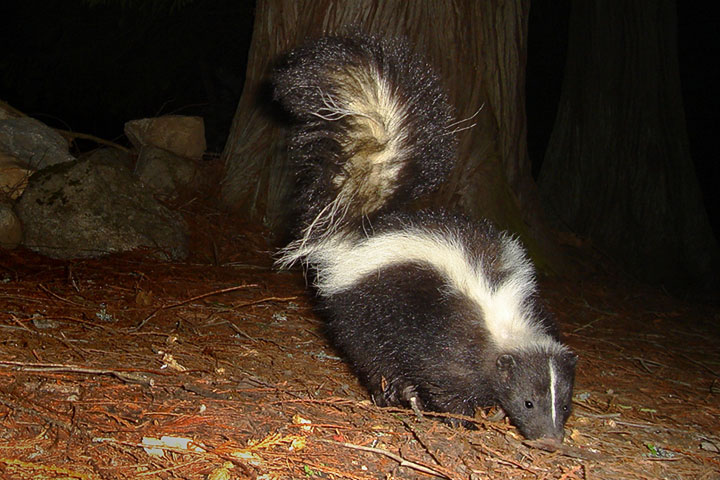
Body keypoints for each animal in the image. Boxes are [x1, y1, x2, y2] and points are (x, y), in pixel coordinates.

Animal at [272, 33, 576, 442]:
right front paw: (461, 420)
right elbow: (447, 378)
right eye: (528, 402)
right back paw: (392, 396)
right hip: (362, 311)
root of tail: (365, 227)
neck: (500, 310)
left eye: (565, 405)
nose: (550, 441)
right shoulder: (449, 335)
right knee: (371, 356)